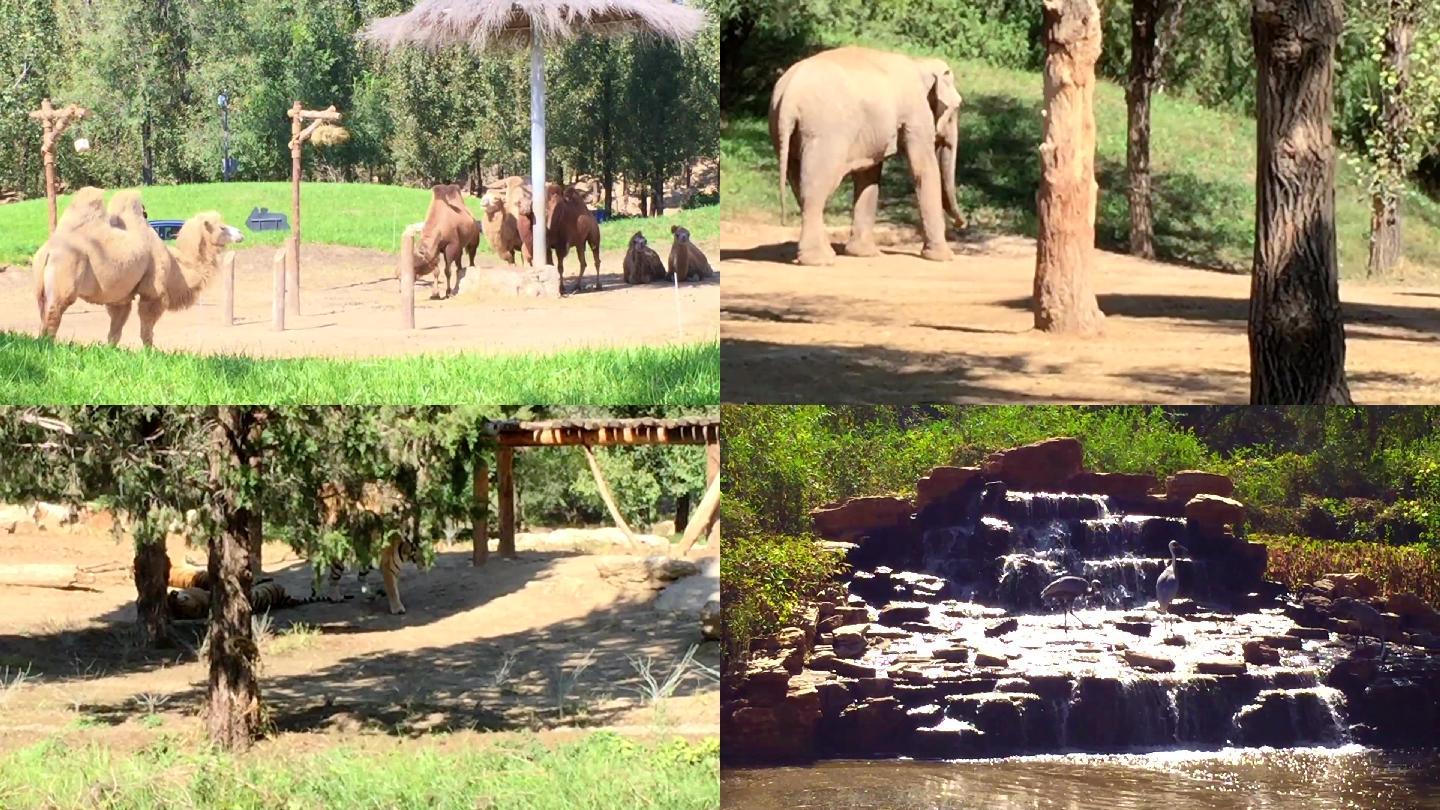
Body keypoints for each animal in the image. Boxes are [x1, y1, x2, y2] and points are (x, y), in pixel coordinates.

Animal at [315, 478, 420, 611]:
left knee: (360, 577)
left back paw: (370, 595)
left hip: (367, 557)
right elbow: (392, 588)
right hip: (341, 556)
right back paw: (336, 597)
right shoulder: (388, 567)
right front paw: (397, 608)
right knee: (333, 577)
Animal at [771, 46, 961, 265]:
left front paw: (862, 253)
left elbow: (868, 175)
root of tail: (789, 96)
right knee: (816, 188)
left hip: (783, 133)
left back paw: (826, 253)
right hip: (824, 135)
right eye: (957, 108)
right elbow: (924, 169)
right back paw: (819, 260)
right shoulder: (916, 113)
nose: (961, 225)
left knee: (799, 185)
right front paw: (944, 257)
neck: (920, 62)